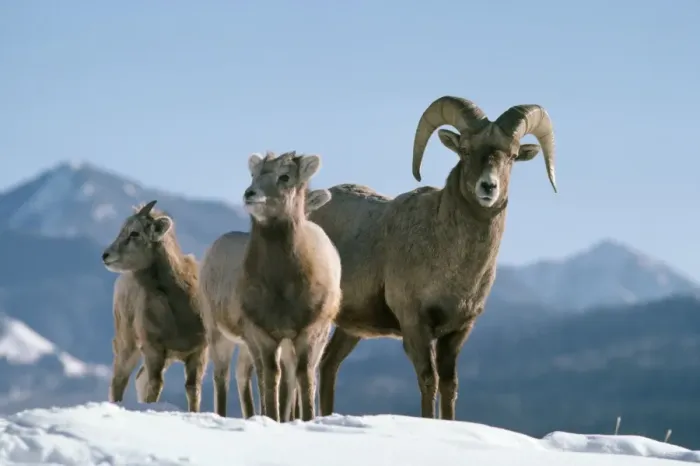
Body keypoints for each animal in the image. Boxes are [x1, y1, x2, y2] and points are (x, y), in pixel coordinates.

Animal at [102, 200, 208, 412]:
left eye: (134, 233)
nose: (106, 255)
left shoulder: (199, 352)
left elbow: (193, 389)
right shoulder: (154, 350)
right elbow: (155, 385)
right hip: (127, 343)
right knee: (120, 379)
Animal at [308, 95, 558, 420]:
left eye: (512, 156)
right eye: (465, 150)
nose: (488, 187)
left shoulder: (458, 331)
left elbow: (450, 386)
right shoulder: (416, 325)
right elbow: (429, 381)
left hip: (349, 329)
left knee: (328, 366)